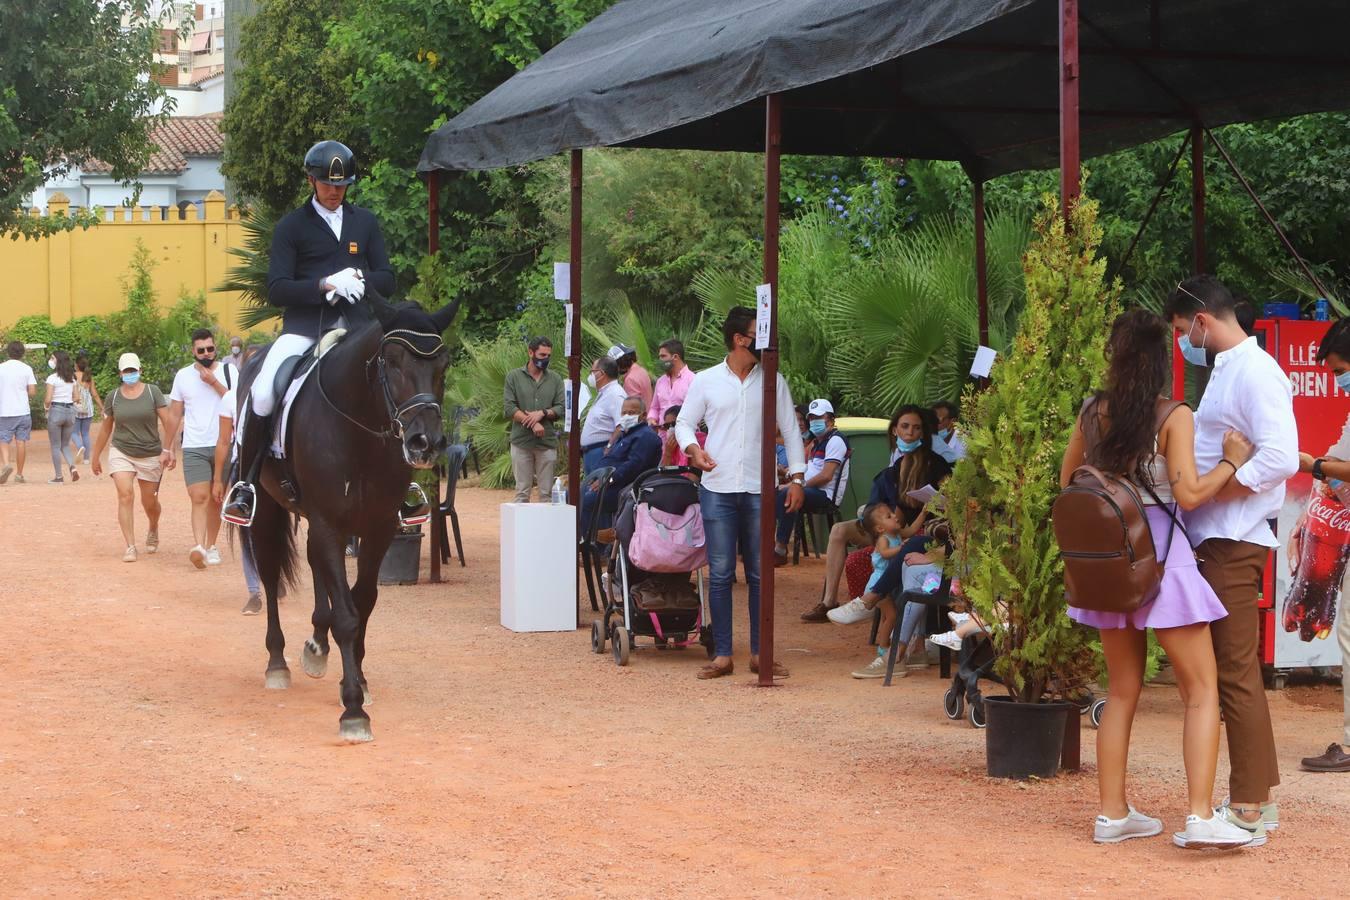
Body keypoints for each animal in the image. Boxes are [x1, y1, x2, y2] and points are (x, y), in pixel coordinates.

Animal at [234, 295, 461, 739]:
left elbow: (363, 602)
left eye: (442, 363)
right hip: (268, 510)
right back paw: (277, 663)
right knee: (269, 574)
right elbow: (346, 615)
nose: (425, 443)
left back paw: (316, 646)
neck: (359, 430)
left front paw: (355, 681)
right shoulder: (328, 524)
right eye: (392, 361)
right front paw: (353, 709)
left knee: (315, 565)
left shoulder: (377, 529)